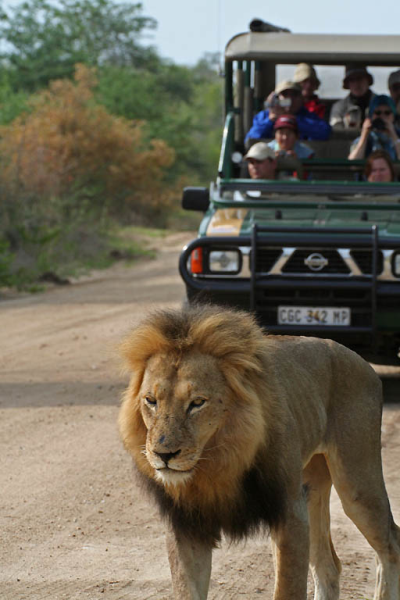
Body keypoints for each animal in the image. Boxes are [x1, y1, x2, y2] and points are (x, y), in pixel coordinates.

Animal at [117, 308, 398, 596]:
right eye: (151, 401)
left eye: (197, 403)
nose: (164, 454)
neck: (216, 465)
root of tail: (361, 361)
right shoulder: (186, 525)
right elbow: (186, 589)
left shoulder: (290, 512)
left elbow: (288, 589)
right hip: (311, 486)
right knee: (329, 566)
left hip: (357, 484)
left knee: (391, 544)